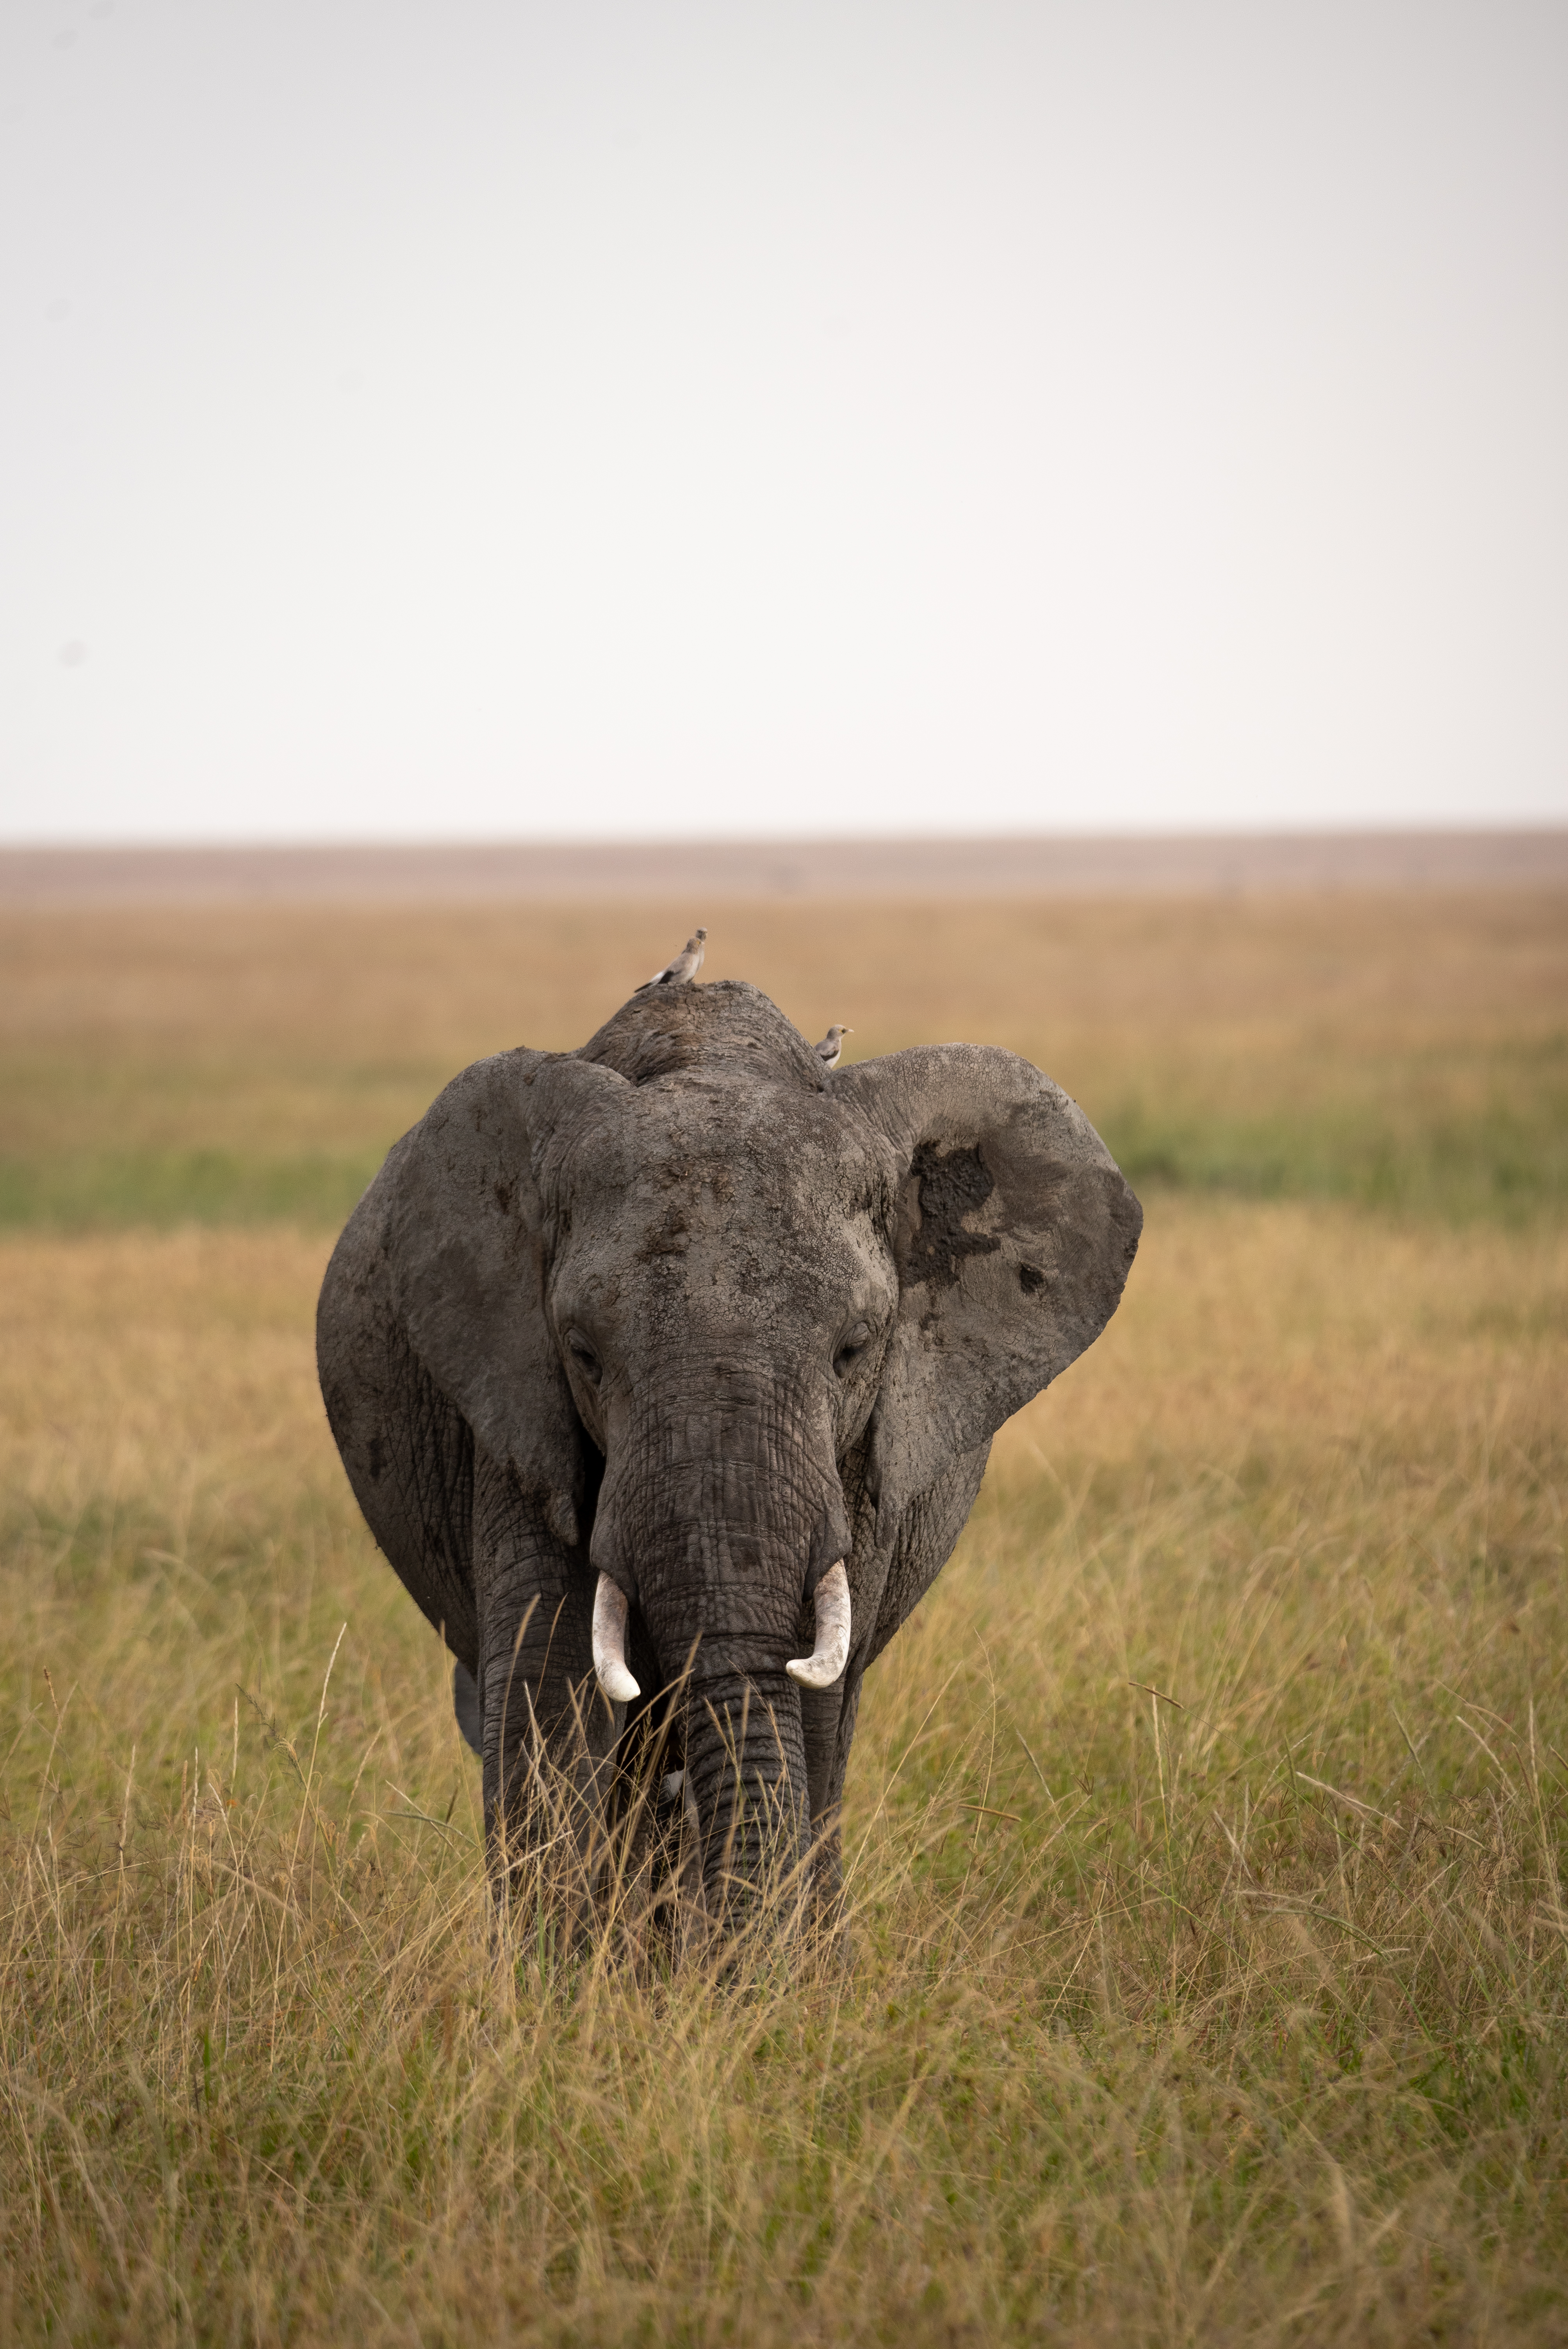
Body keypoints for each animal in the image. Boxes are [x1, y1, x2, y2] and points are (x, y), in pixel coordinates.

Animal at [316, 976, 1141, 1951]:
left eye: (854, 1348)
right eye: (582, 1352)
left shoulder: (858, 1461)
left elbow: (815, 1707)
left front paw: (777, 1979)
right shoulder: (517, 1410)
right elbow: (548, 1685)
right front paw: (559, 1985)